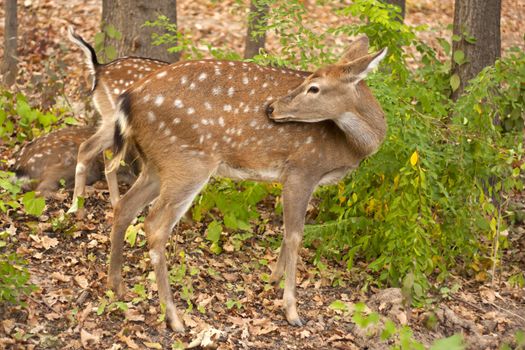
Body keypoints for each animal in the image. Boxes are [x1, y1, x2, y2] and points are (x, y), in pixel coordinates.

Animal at [66, 26, 167, 208]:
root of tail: (98, 68)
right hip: (114, 119)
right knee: (87, 147)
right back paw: (76, 207)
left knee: (107, 157)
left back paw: (115, 202)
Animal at [107, 37, 384, 332]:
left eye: (314, 86)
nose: (271, 107)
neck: (351, 148)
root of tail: (127, 99)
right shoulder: (302, 168)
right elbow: (295, 236)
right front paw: (292, 310)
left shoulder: (298, 178)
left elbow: (288, 233)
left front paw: (273, 280)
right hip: (188, 161)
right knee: (155, 225)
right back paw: (174, 317)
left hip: (155, 164)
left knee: (124, 207)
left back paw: (116, 286)